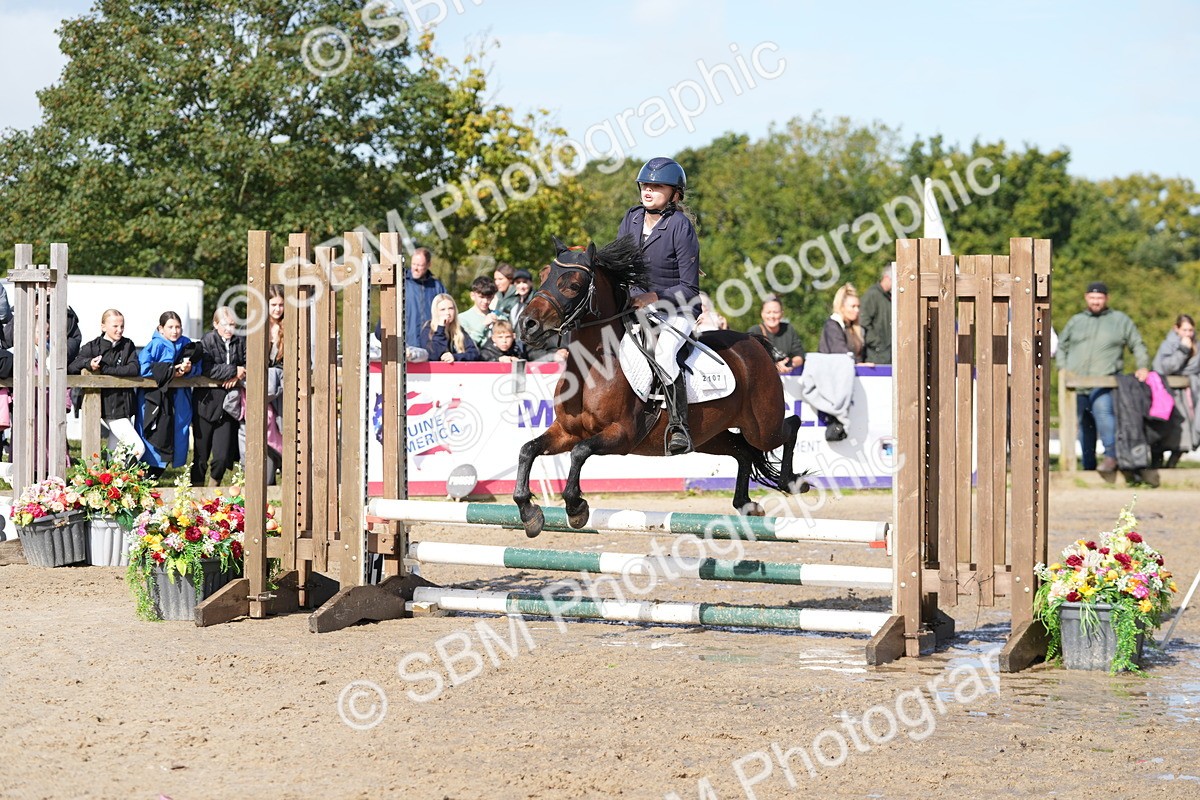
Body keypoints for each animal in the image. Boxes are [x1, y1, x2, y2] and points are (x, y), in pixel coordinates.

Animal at [513, 235, 808, 538]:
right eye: (543, 276)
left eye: (573, 285)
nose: (527, 325)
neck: (592, 366)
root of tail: (754, 343)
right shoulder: (567, 431)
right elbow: (528, 449)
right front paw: (529, 513)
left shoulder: (622, 434)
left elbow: (580, 452)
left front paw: (576, 508)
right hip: (711, 436)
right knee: (743, 450)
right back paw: (746, 504)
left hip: (762, 426)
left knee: (790, 426)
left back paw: (791, 482)